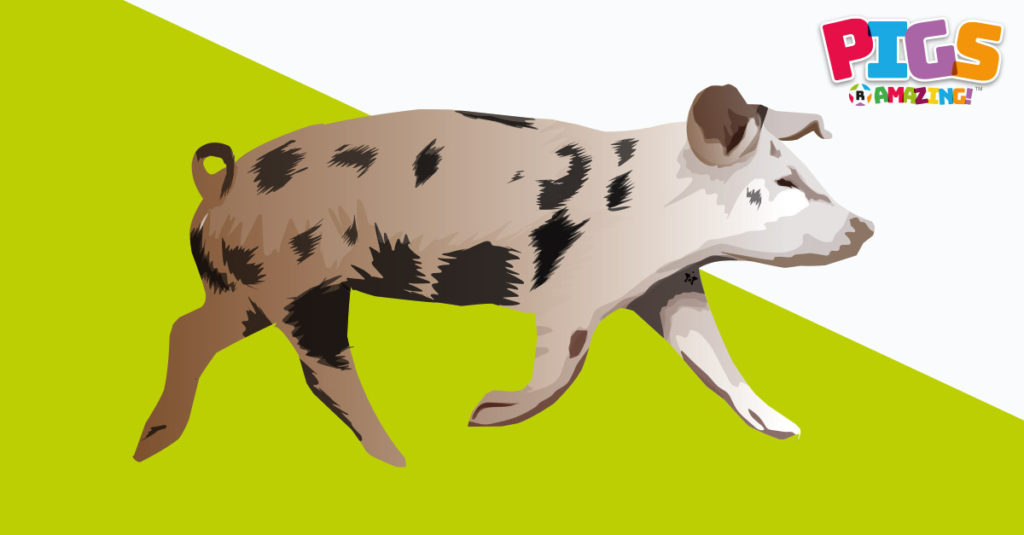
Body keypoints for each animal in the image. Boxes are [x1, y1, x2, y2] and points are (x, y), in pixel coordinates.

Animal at [133, 84, 873, 466]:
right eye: (782, 181)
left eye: (805, 172)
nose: (866, 228)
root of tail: (220, 185)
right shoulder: (568, 292)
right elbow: (564, 366)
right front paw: (484, 413)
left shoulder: (669, 288)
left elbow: (715, 356)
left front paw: (784, 430)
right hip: (298, 279)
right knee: (322, 367)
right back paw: (399, 455)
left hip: (248, 287)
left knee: (188, 328)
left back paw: (152, 443)